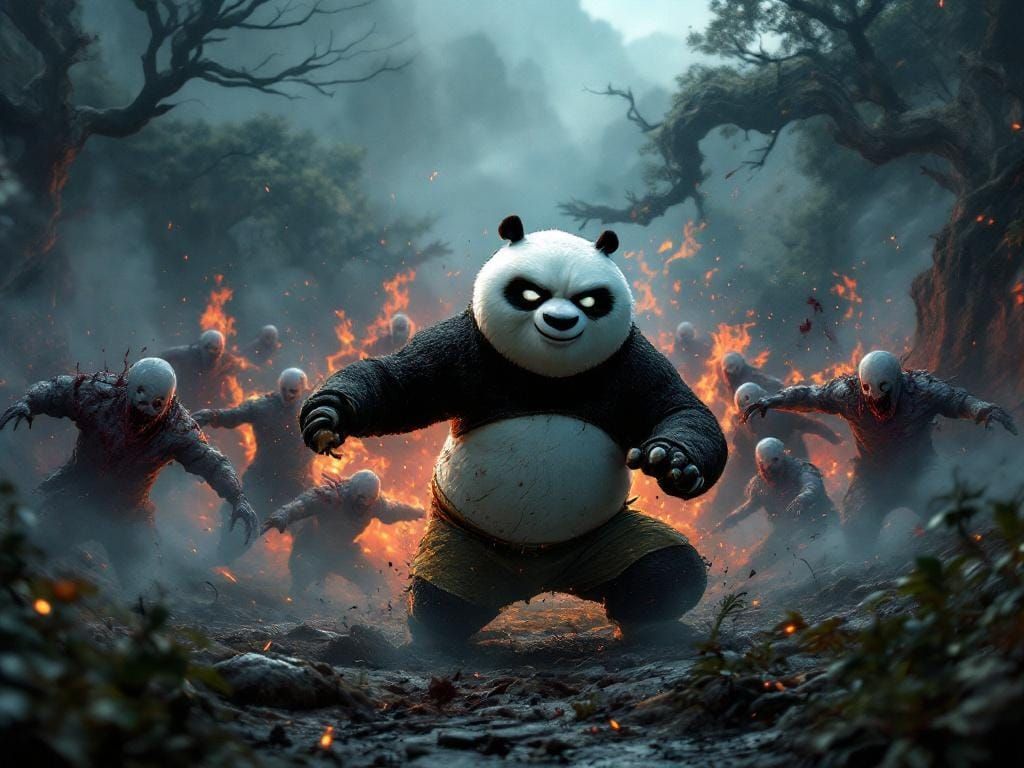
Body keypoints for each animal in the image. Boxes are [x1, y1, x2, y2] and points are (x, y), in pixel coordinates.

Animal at [300, 215, 727, 644]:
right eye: (529, 293)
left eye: (589, 301)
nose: (560, 322)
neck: (547, 377)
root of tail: (541, 579)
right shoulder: (467, 348)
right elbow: (401, 384)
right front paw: (328, 415)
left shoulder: (627, 359)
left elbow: (677, 408)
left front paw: (673, 464)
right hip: (467, 542)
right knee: (442, 596)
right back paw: (433, 635)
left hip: (603, 537)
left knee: (664, 568)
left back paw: (651, 622)